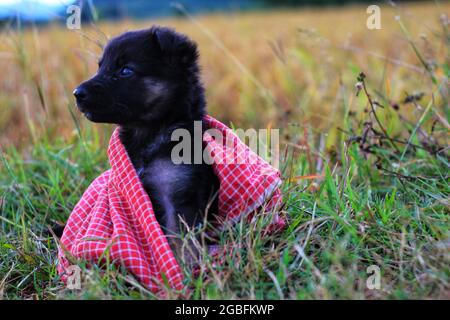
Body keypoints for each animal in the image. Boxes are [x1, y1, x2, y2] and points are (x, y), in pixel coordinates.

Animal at [73, 25, 219, 255]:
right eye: (100, 67)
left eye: (125, 71)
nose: (77, 93)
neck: (147, 134)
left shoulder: (176, 197)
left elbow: (181, 242)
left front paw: (186, 264)